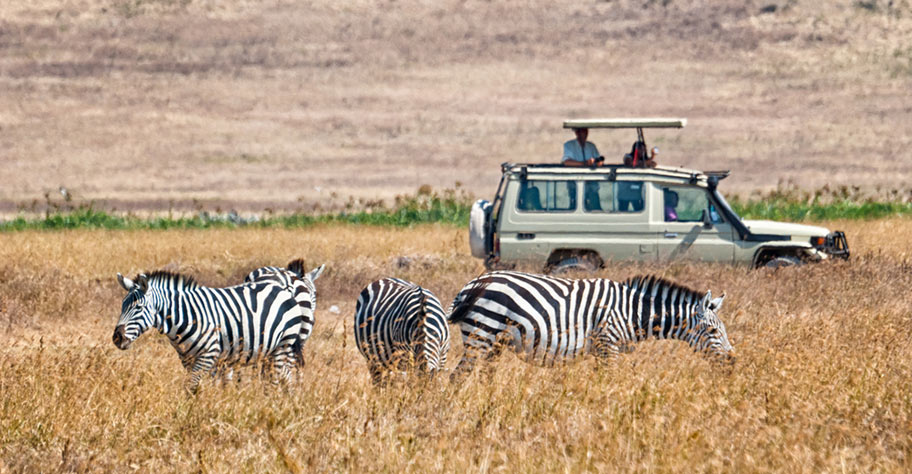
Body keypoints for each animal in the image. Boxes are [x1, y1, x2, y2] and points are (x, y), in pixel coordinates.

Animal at [112, 270, 312, 392]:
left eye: (138, 307)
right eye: (122, 306)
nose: (117, 337)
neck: (186, 315)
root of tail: (284, 287)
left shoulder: (208, 354)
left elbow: (191, 387)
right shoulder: (188, 359)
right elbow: (199, 386)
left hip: (282, 345)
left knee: (275, 380)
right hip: (271, 350)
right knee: (286, 377)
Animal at [448, 270, 732, 374]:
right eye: (711, 330)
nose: (732, 362)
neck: (631, 311)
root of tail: (471, 284)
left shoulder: (602, 349)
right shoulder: (608, 343)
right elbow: (611, 380)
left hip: (494, 343)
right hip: (482, 334)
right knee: (459, 376)